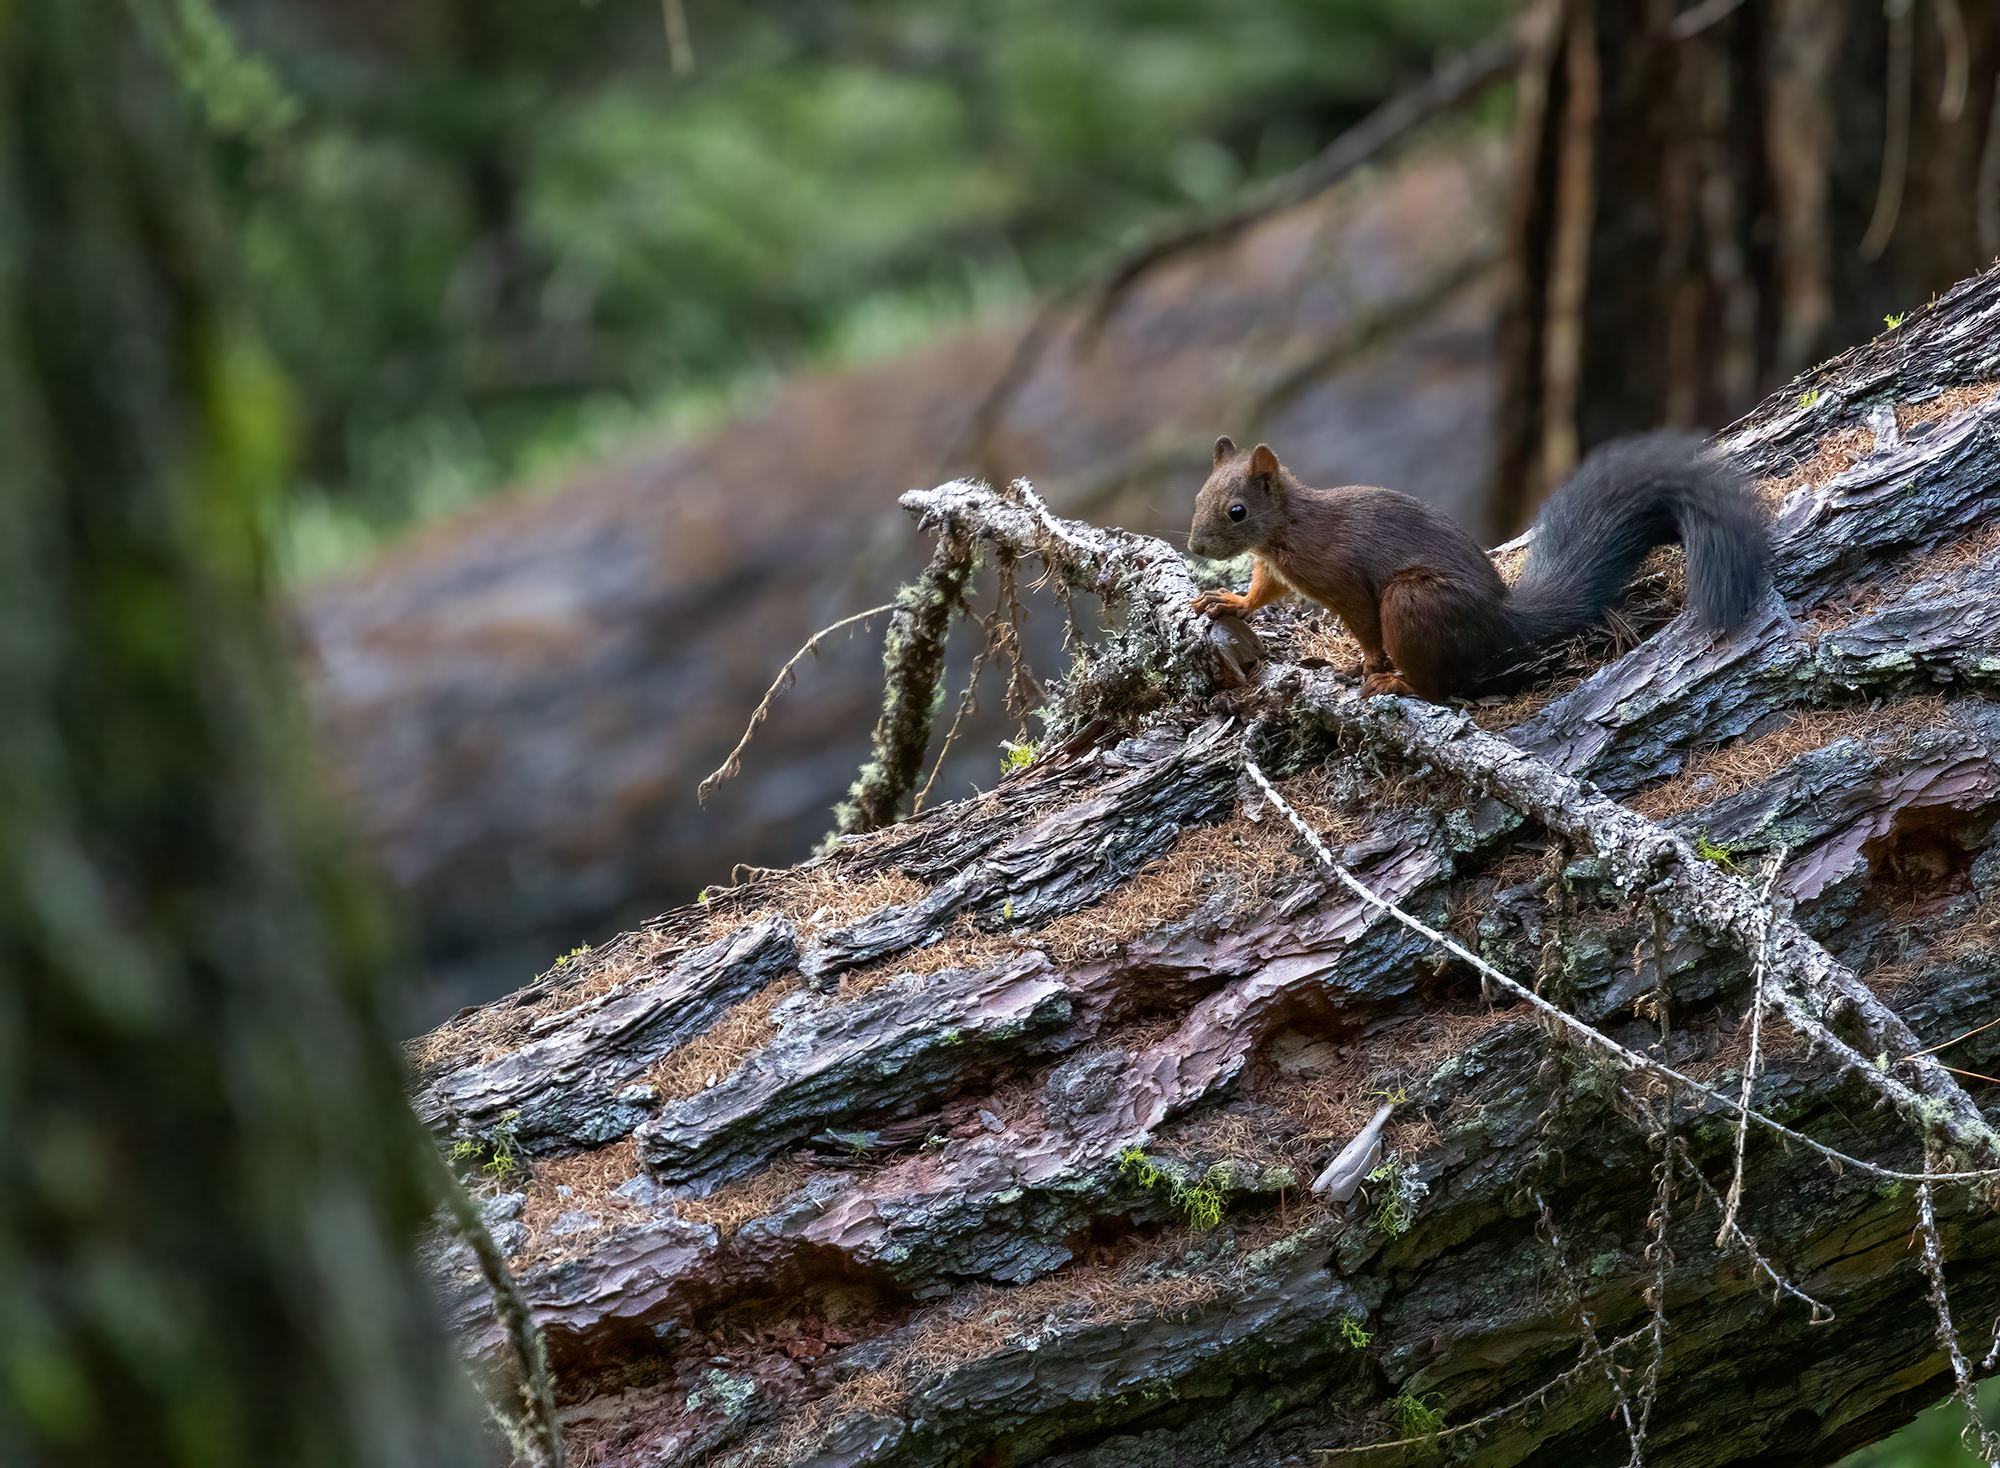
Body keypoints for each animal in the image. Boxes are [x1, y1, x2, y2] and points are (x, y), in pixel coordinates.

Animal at [1187, 431, 1769, 703]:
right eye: (1197, 496)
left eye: (1236, 511)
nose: (1194, 546)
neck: (1287, 531)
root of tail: (1501, 622)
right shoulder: (1276, 570)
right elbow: (1263, 592)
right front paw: (1229, 601)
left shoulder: (1343, 577)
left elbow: (1365, 624)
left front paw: (1368, 663)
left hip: (1414, 600)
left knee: (1436, 686)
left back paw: (1395, 682)